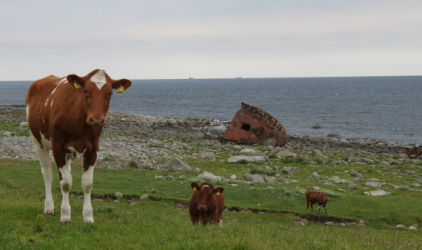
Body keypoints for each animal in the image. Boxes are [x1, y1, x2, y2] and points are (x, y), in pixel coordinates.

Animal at [26, 69, 132, 223]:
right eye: (86, 90)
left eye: (110, 93)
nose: (96, 120)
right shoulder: (58, 147)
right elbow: (65, 182)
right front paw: (65, 215)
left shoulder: (93, 149)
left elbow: (87, 184)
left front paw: (88, 216)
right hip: (37, 140)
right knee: (47, 174)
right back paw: (49, 208)